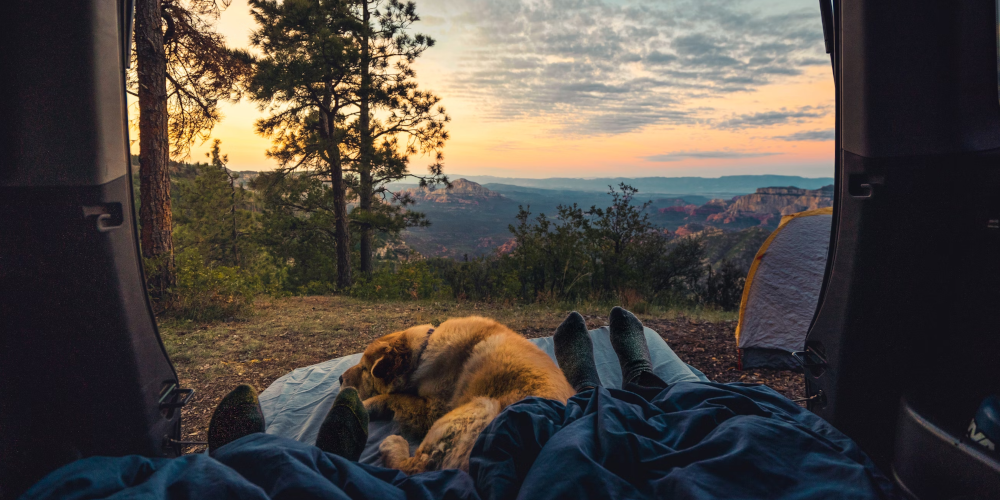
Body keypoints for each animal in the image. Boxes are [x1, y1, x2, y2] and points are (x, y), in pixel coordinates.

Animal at [338, 316, 576, 472]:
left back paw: (393, 445)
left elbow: (392, 397)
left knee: (415, 468)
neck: (424, 350)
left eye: (364, 369)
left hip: (478, 407)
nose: (340, 379)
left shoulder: (432, 411)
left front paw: (365, 404)